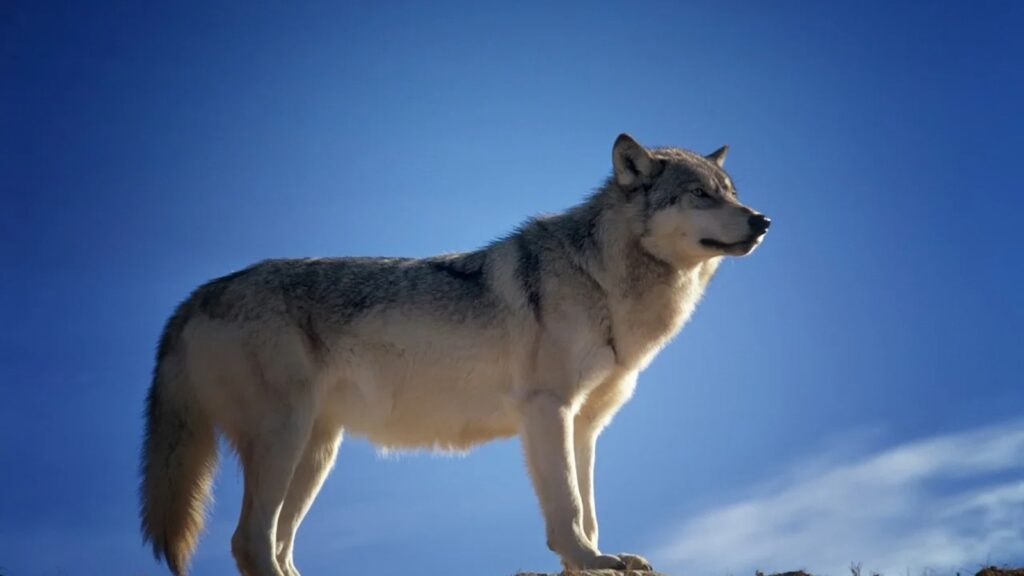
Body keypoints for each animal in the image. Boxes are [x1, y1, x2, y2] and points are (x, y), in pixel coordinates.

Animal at [139, 134, 770, 576]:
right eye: (700, 194)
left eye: (731, 191)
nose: (763, 220)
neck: (602, 279)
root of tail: (194, 297)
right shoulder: (548, 411)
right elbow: (567, 509)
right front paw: (588, 560)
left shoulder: (586, 425)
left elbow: (589, 509)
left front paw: (594, 561)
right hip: (284, 440)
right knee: (249, 542)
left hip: (316, 454)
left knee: (275, 545)